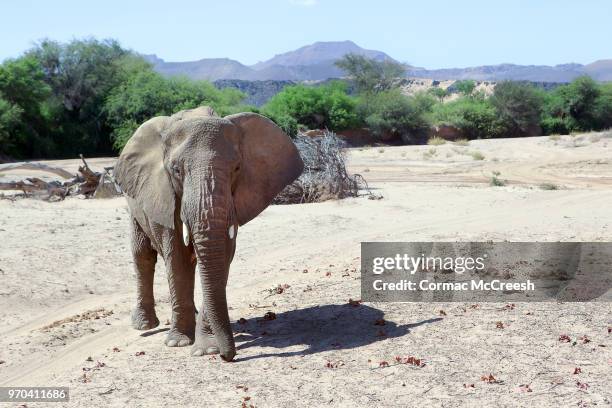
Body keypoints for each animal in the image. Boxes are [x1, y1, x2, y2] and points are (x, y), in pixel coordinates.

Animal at [114, 106, 304, 360]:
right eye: (176, 170)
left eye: (237, 168)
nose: (227, 356)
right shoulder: (163, 194)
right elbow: (176, 260)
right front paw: (178, 343)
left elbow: (221, 255)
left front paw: (207, 349)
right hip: (134, 200)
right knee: (143, 255)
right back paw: (144, 325)